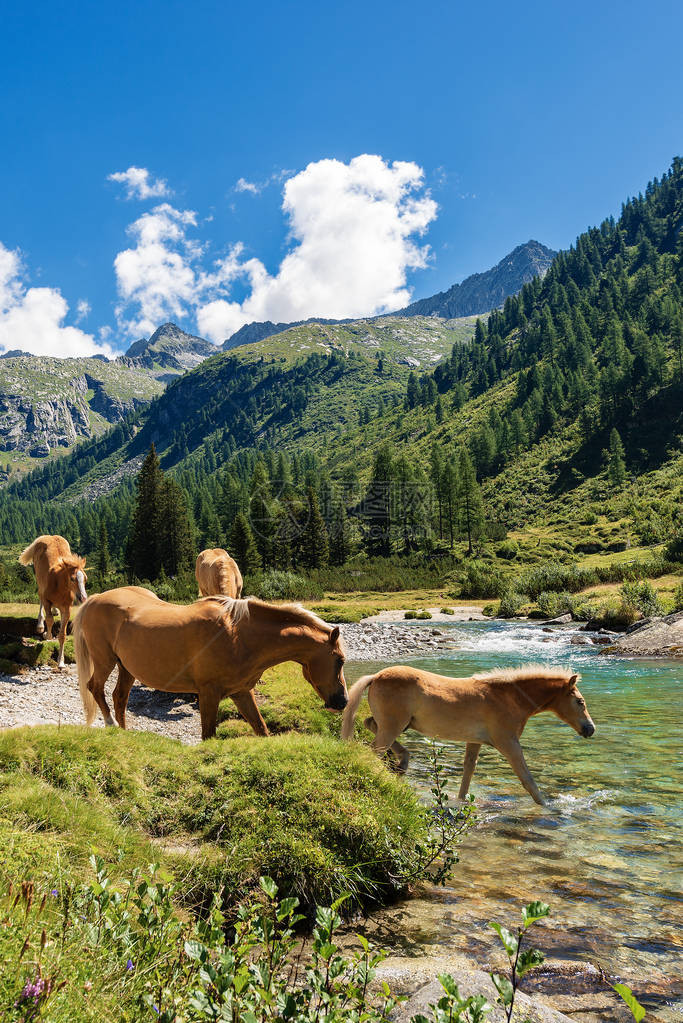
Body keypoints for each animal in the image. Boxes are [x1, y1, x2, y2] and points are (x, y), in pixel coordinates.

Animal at [18, 536, 87, 671]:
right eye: (72, 579)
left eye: (85, 579)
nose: (83, 598)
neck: (58, 584)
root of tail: (46, 536)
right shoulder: (46, 600)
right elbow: (49, 619)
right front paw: (46, 635)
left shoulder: (67, 608)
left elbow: (62, 634)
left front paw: (61, 662)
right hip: (39, 578)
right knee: (40, 595)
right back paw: (40, 625)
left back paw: (55, 611)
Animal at [74, 589, 347, 740]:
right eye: (341, 660)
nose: (342, 701)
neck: (238, 636)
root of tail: (95, 599)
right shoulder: (208, 694)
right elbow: (208, 736)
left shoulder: (241, 692)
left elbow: (261, 728)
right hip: (105, 660)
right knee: (95, 687)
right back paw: (109, 724)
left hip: (126, 668)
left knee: (119, 697)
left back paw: (122, 732)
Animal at [343, 662, 593, 806]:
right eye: (580, 702)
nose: (590, 729)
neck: (509, 698)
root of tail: (376, 676)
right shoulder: (508, 743)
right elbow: (527, 778)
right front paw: (547, 807)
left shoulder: (475, 741)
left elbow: (468, 772)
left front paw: (460, 802)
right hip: (393, 725)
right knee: (373, 749)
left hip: (395, 724)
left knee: (370, 725)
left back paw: (402, 762)